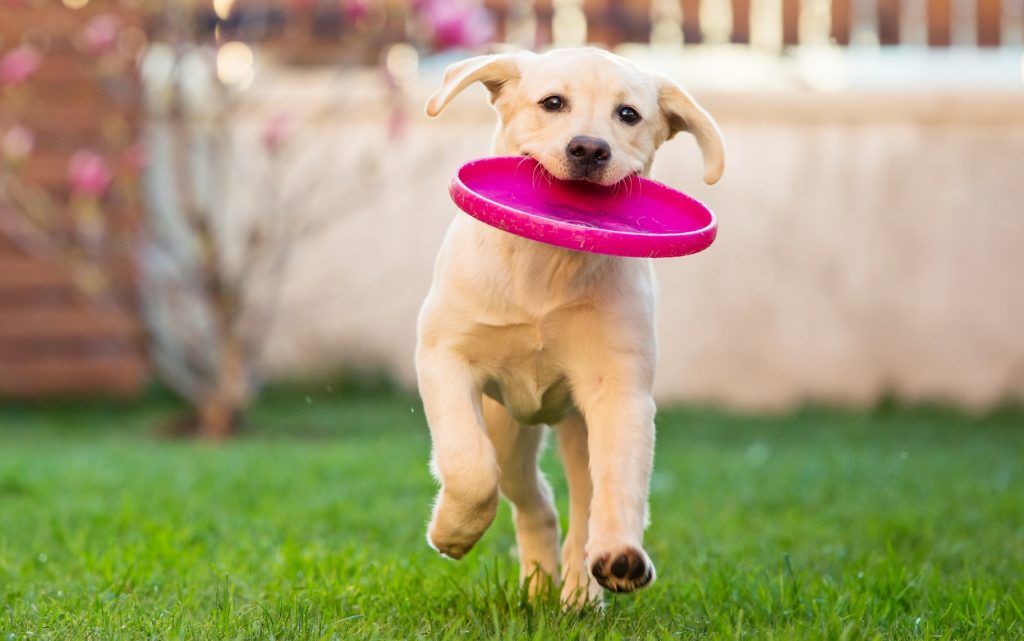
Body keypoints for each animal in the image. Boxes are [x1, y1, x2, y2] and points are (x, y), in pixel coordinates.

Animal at [411, 47, 724, 602]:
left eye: (628, 114)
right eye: (552, 103)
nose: (589, 148)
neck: (549, 264)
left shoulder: (619, 390)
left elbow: (620, 482)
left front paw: (620, 556)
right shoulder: (444, 356)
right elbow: (469, 466)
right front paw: (453, 532)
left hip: (579, 428)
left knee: (580, 504)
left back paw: (580, 588)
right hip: (506, 427)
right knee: (531, 497)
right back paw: (539, 584)